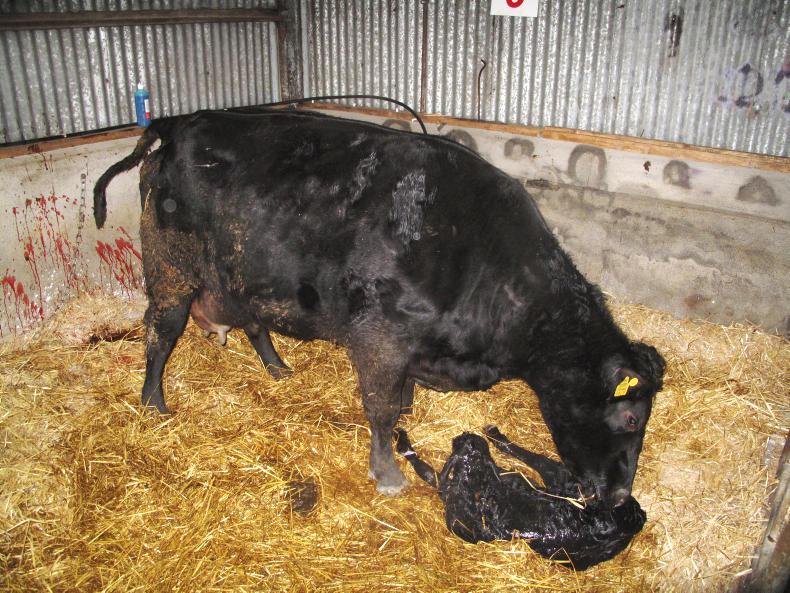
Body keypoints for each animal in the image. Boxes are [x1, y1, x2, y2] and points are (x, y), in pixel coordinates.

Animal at [93, 108, 665, 505]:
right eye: (631, 417)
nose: (620, 497)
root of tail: (180, 122)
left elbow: (401, 397)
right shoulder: (381, 337)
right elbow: (382, 408)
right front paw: (387, 470)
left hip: (245, 272)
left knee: (254, 321)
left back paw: (278, 368)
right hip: (170, 266)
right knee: (160, 331)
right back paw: (153, 403)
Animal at [395, 427, 646, 569]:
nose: (469, 440)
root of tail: (636, 516)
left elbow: (428, 473)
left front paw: (402, 441)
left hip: (564, 483)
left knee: (541, 462)